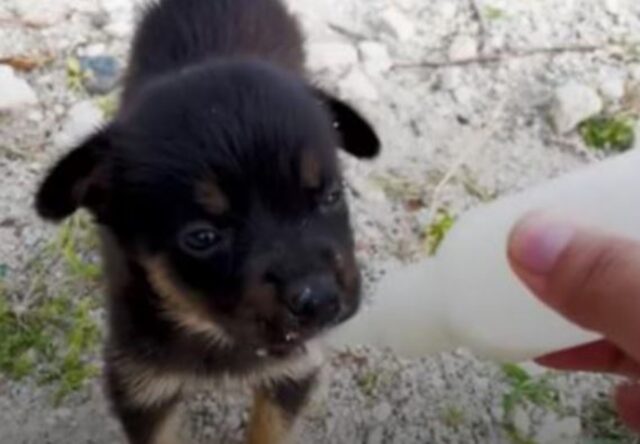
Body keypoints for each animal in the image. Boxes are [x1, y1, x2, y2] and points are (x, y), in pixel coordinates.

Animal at [36, 0, 380, 444]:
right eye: (202, 237)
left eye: (332, 196)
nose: (321, 300)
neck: (211, 328)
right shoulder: (140, 382)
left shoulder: (292, 369)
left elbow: (269, 431)